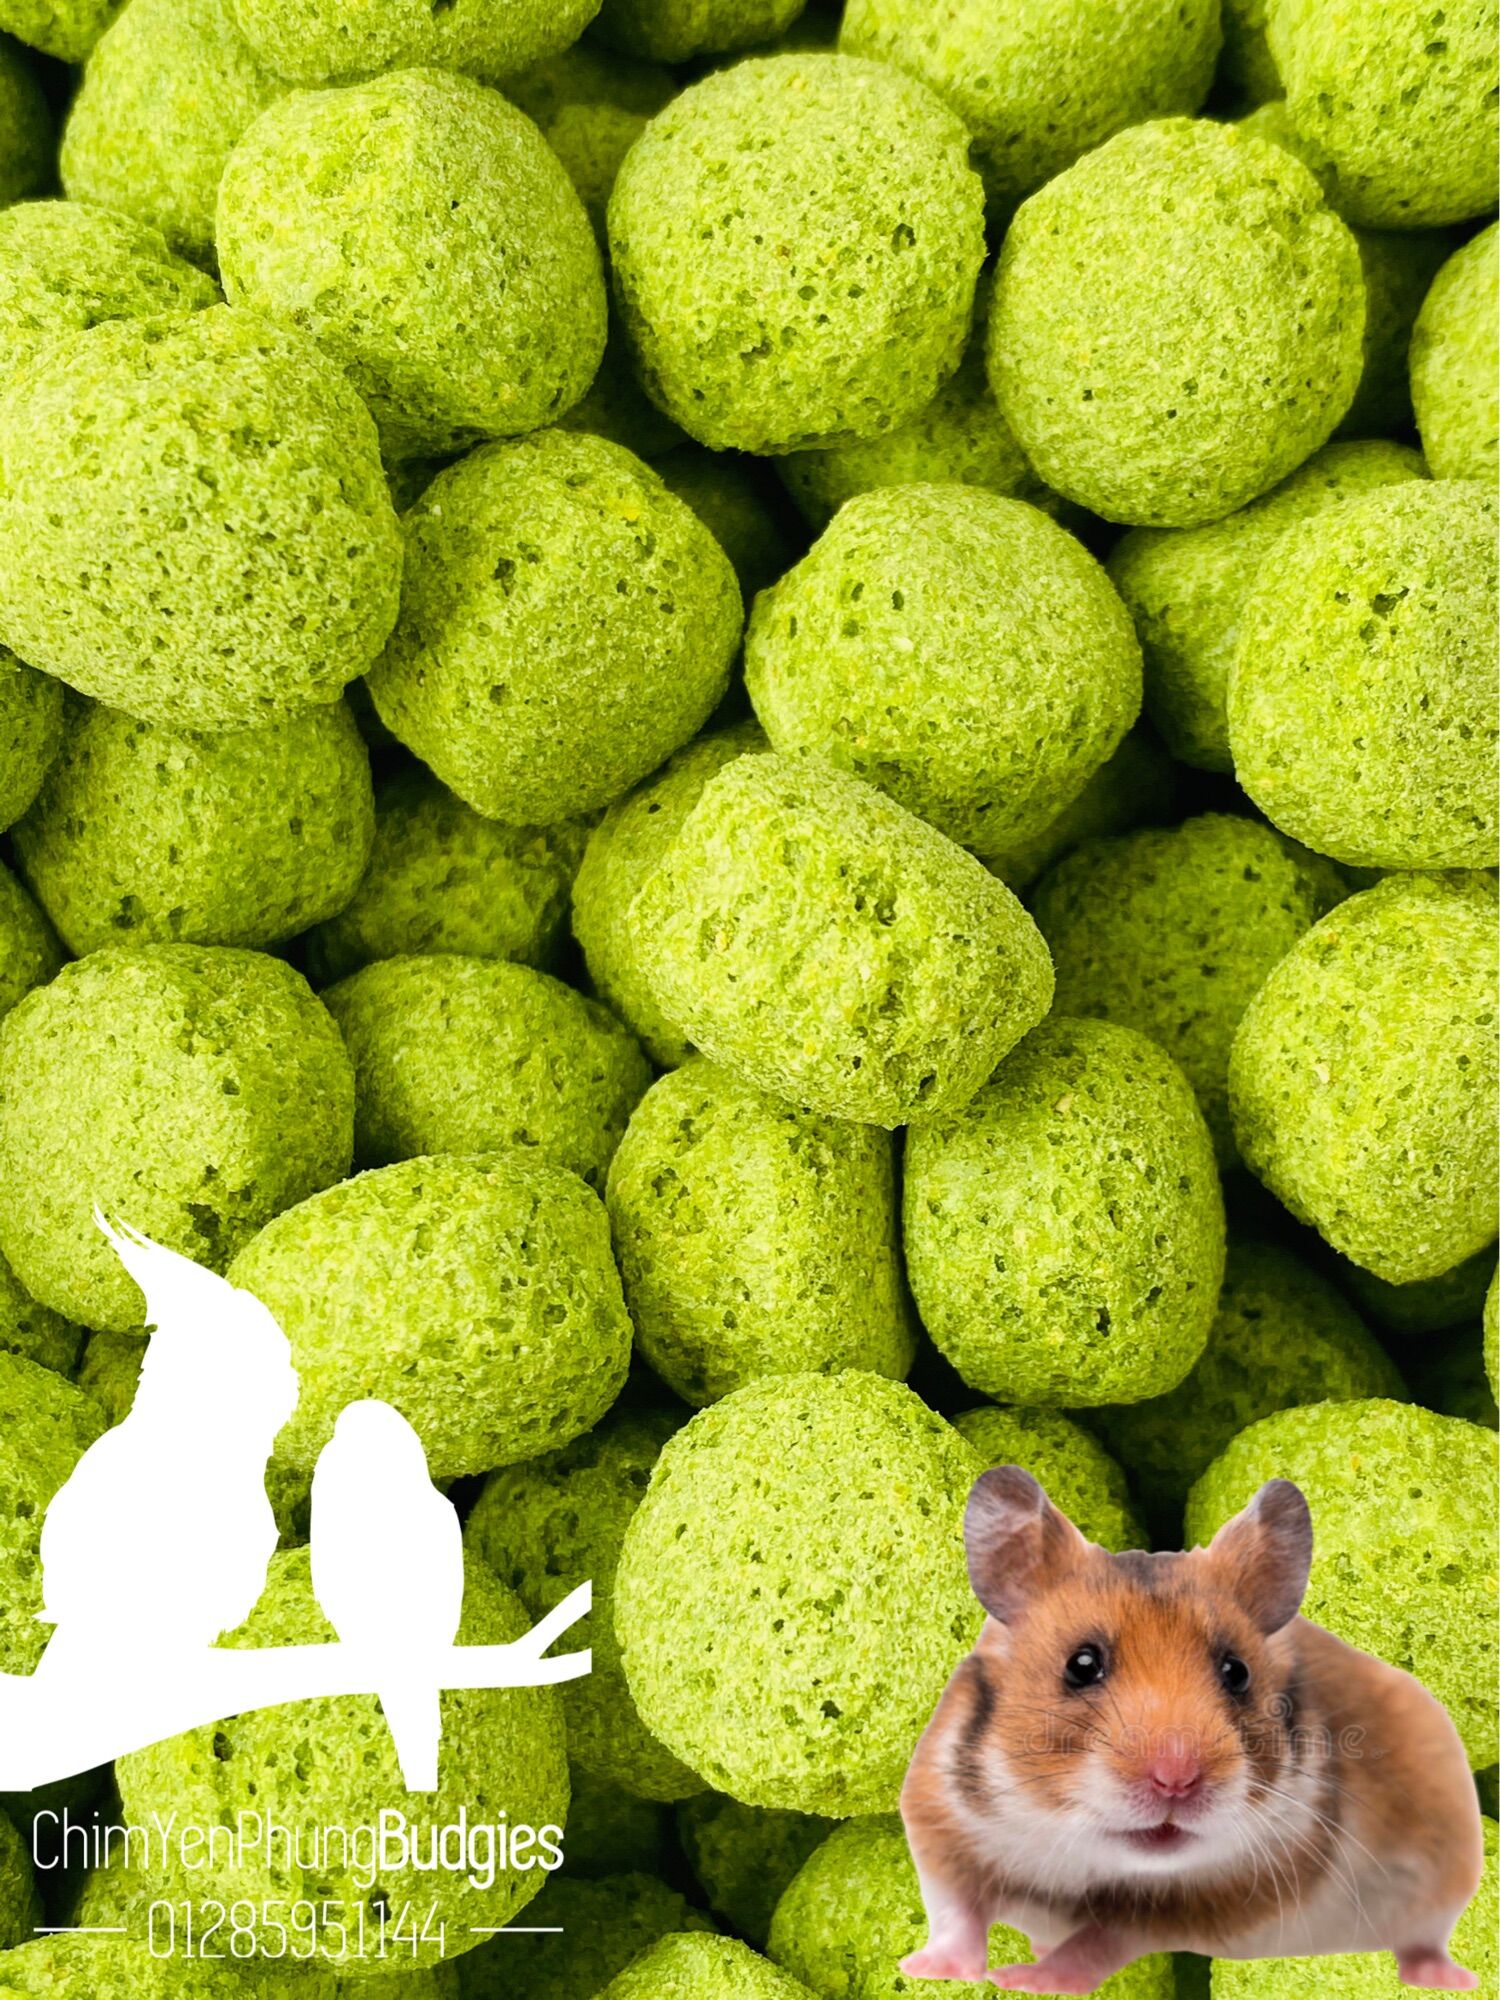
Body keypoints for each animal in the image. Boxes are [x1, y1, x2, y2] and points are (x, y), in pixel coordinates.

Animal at [899, 1467, 1484, 1993]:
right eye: (1081, 1665)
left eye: (1236, 1672)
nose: (1176, 1780)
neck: (1083, 1852)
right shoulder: (936, 1821)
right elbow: (956, 1913)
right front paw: (926, 1970)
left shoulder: (1194, 1906)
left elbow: (1097, 1943)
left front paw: (1023, 1979)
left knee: (1426, 1940)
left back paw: (1449, 1978)